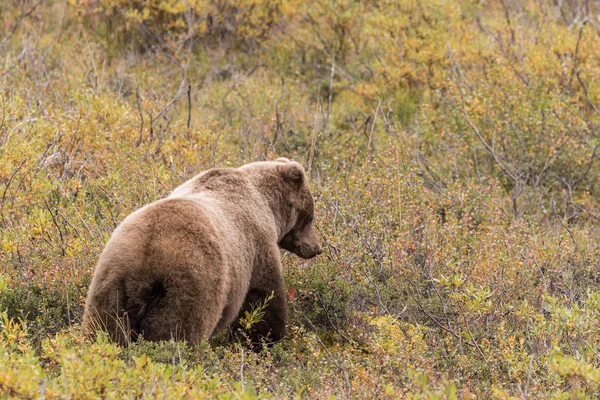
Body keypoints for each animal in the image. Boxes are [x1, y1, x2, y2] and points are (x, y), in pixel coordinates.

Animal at [83, 158, 324, 346]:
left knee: (104, 332)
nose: (316, 249)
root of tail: (144, 260)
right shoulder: (257, 247)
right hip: (190, 288)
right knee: (179, 334)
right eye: (310, 217)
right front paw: (266, 340)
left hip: (110, 287)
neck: (268, 207)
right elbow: (264, 300)